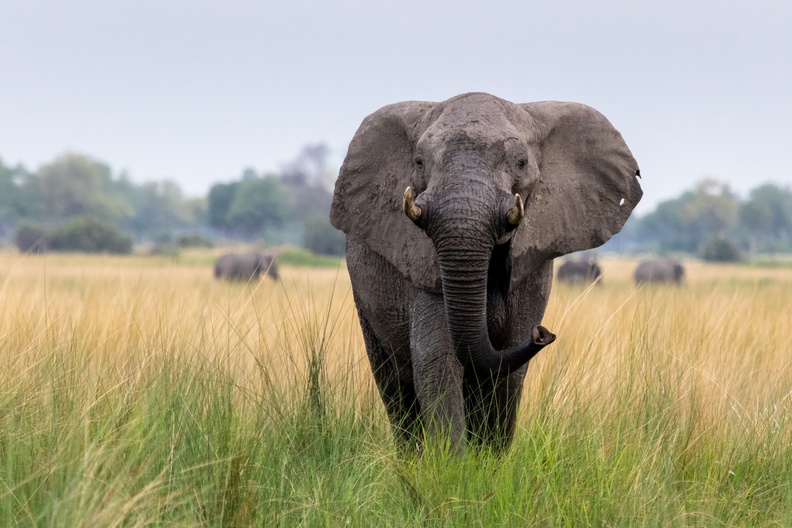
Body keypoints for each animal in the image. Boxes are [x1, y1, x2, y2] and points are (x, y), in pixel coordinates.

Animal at [330, 92, 641, 451]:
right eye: (419, 162)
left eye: (521, 162)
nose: (542, 334)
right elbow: (438, 360)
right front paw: (450, 462)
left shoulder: (531, 272)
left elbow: (507, 371)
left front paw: (489, 459)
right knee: (394, 384)